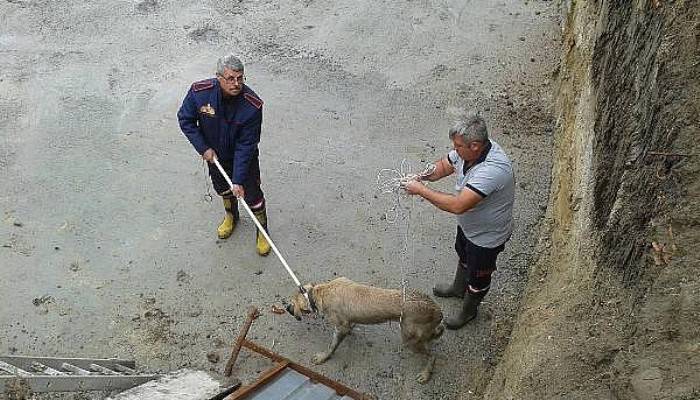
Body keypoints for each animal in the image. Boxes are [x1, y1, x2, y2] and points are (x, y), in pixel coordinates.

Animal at [284, 276, 442, 382]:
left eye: (291, 302)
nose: (285, 307)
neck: (320, 292)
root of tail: (437, 310)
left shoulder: (340, 327)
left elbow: (332, 345)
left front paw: (324, 356)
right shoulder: (347, 322)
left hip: (409, 339)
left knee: (433, 355)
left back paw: (426, 373)